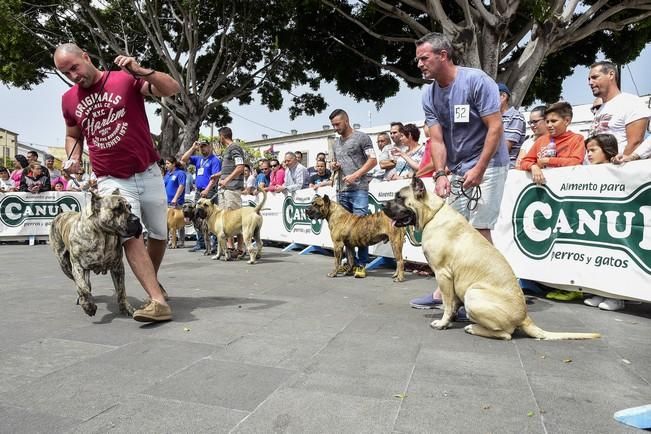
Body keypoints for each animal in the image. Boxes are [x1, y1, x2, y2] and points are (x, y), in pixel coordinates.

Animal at [49, 188, 143, 318]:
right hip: (65, 265)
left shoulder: (118, 266)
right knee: (78, 283)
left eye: (130, 207)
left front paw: (126, 308)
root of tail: (61, 213)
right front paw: (89, 306)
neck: (103, 235)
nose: (136, 219)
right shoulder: (77, 266)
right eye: (117, 209)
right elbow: (82, 287)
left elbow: (121, 289)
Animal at [382, 178, 600, 340]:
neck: (432, 214)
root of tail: (525, 317)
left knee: (506, 334)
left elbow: (447, 303)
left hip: (473, 293)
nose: (383, 205)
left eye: (400, 198)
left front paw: (443, 322)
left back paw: (473, 328)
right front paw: (451, 318)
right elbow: (452, 304)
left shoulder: (443, 274)